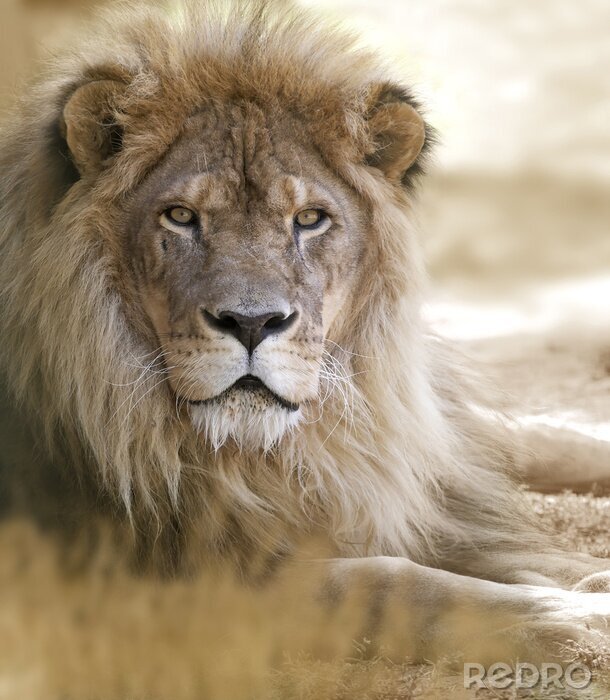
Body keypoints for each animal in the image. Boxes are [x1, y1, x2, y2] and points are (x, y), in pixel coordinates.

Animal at [1, 0, 609, 666]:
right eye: (181, 216)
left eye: (310, 219)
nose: (251, 323)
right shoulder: (161, 583)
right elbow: (394, 583)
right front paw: (573, 612)